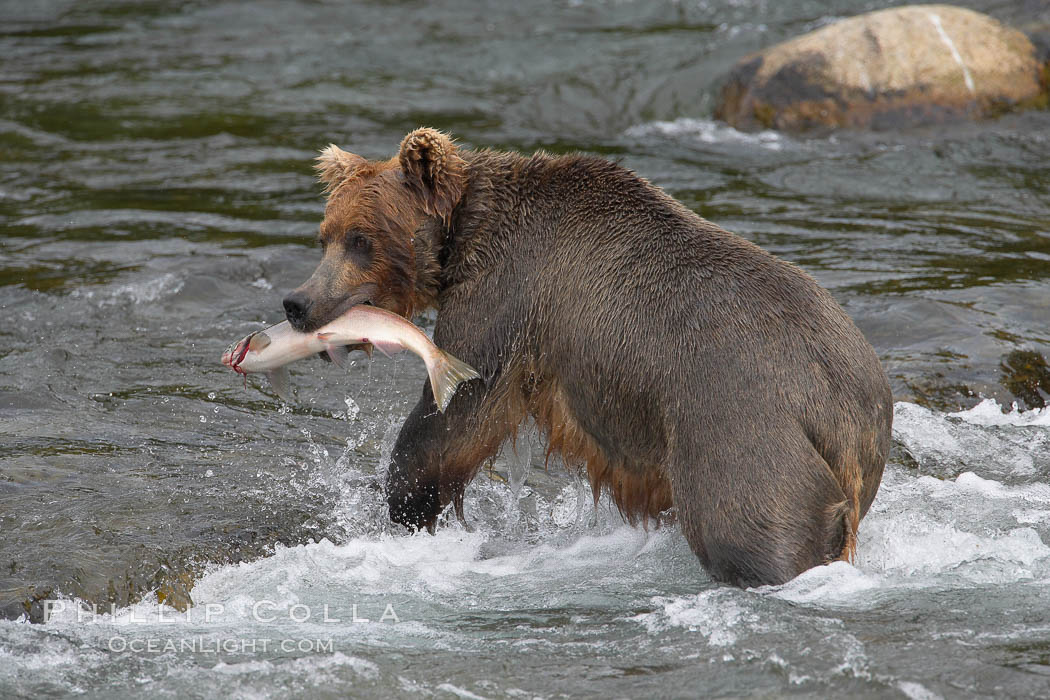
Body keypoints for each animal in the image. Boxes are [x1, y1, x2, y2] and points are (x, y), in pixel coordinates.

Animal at [283, 127, 890, 587]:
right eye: (325, 236)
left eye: (361, 239)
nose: (298, 302)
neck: (464, 240)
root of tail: (844, 407)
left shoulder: (505, 301)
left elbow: (455, 415)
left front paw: (405, 502)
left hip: (739, 425)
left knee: (747, 526)